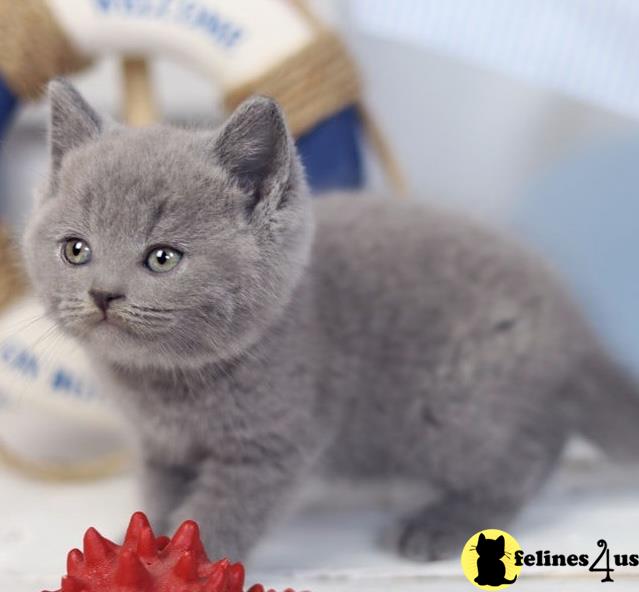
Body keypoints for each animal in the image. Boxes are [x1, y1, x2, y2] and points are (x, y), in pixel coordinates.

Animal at [22, 81, 639, 560]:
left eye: (162, 258)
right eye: (76, 250)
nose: (102, 294)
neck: (167, 386)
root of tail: (577, 331)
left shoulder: (271, 446)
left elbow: (220, 513)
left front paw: (185, 562)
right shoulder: (161, 450)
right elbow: (157, 500)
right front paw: (139, 548)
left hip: (458, 405)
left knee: (525, 460)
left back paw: (440, 524)